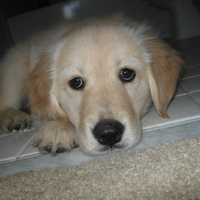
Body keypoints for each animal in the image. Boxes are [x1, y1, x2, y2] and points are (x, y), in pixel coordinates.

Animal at [0, 16, 183, 155]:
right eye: (76, 82)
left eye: (127, 73)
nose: (108, 133)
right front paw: (58, 128)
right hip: (15, 65)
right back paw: (14, 117)